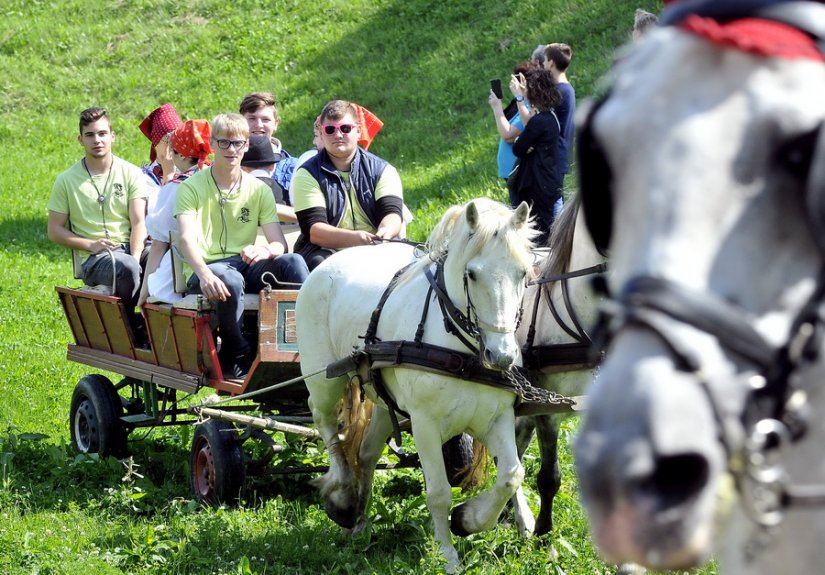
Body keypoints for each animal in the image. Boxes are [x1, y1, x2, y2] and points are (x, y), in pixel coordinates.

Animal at [300, 197, 536, 572]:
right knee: (325, 422)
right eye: (472, 273)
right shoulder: (425, 425)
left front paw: (469, 520)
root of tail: (329, 264)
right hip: (323, 380)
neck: (462, 353)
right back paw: (343, 494)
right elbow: (438, 493)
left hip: (384, 403)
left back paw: (360, 523)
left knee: (366, 454)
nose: (501, 356)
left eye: (523, 273)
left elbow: (512, 474)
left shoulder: (495, 418)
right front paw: (449, 555)